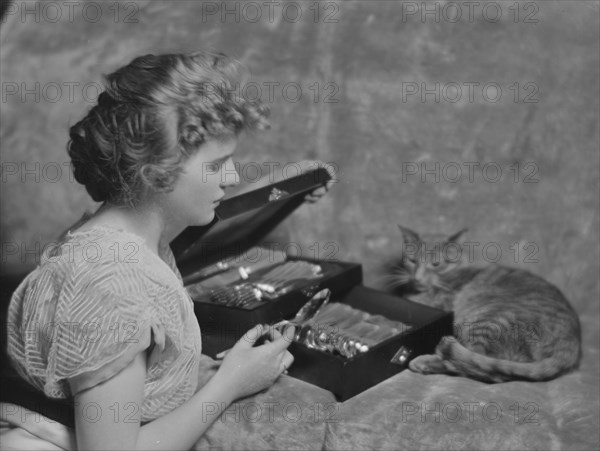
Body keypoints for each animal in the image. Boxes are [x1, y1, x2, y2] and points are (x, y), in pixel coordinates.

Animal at [390, 226, 580, 384]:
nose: (417, 277)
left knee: (475, 365)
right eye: (412, 261)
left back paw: (424, 361)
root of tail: (572, 344)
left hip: (487, 321)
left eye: (436, 264)